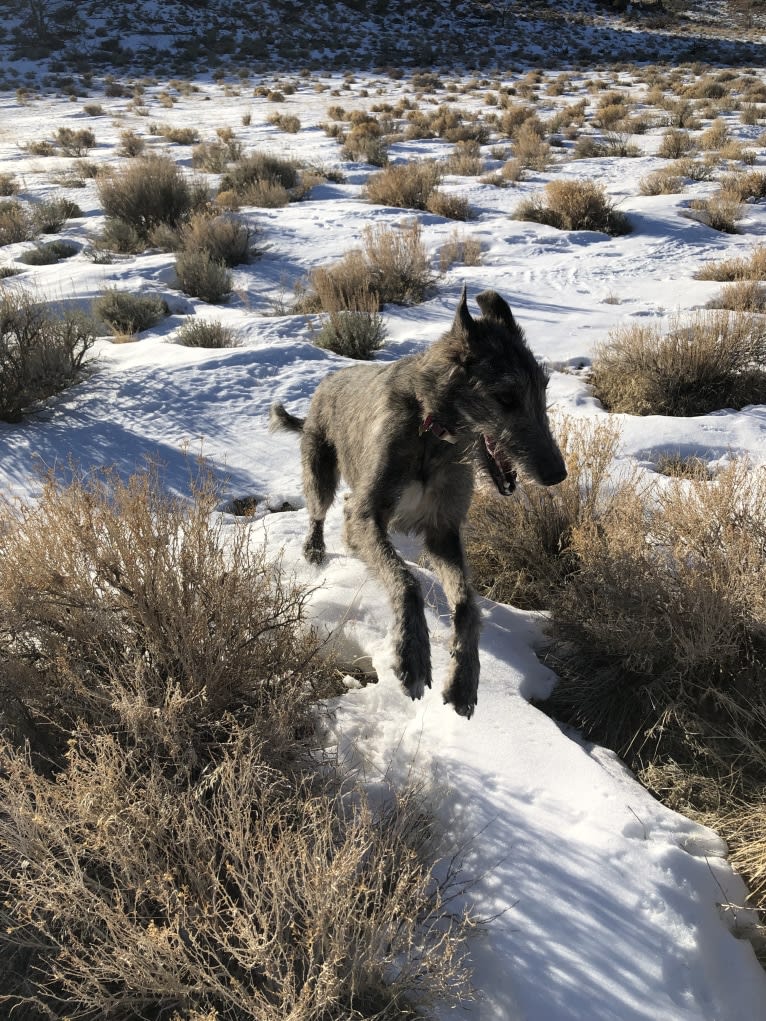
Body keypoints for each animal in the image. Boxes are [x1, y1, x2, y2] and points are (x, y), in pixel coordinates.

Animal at [267, 287, 563, 718]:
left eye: (543, 387)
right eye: (506, 397)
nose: (557, 474)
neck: (433, 432)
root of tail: (329, 379)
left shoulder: (443, 532)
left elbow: (467, 604)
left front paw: (463, 679)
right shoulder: (370, 515)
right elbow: (405, 582)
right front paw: (412, 656)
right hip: (320, 471)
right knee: (321, 511)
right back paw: (315, 549)